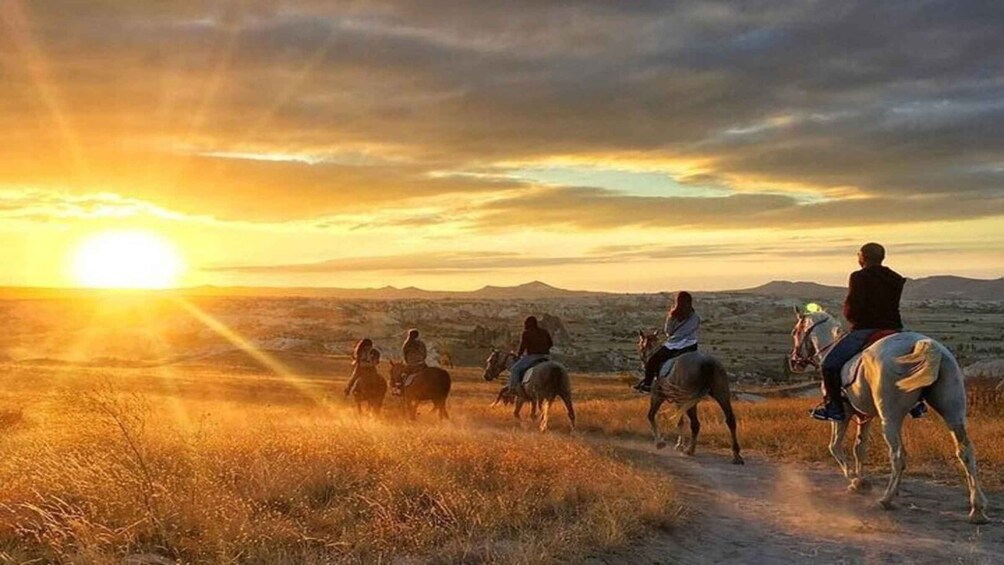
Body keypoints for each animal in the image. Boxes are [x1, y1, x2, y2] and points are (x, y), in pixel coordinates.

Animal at [791, 307, 987, 525]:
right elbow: (860, 448)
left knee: (898, 455)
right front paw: (861, 481)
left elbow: (835, 447)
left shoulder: (842, 414)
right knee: (965, 451)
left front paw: (854, 480)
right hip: (953, 412)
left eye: (795, 332)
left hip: (890, 418)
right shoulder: (865, 416)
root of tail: (926, 345)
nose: (794, 362)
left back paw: (887, 499)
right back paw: (977, 509)